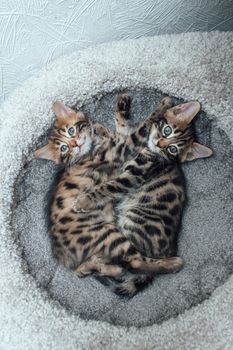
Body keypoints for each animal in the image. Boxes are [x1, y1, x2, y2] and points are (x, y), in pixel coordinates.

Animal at [35, 97, 184, 286]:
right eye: (63, 148)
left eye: (71, 131)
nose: (75, 144)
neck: (91, 149)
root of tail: (61, 254)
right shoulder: (122, 149)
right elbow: (142, 128)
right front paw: (163, 106)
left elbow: (121, 129)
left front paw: (114, 112)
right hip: (107, 235)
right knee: (134, 263)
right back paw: (173, 264)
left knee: (117, 266)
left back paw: (87, 269)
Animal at [74, 95, 213, 296]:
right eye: (167, 130)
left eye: (172, 149)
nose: (159, 143)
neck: (148, 149)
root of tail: (169, 250)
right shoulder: (127, 147)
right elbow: (122, 133)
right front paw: (103, 125)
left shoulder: (132, 176)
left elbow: (107, 187)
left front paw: (84, 201)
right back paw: (87, 267)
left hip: (133, 223)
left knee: (129, 262)